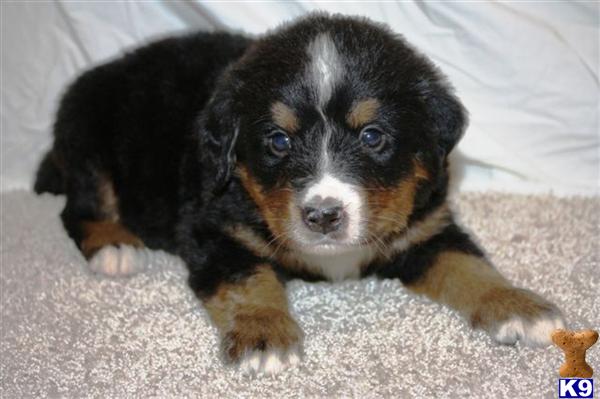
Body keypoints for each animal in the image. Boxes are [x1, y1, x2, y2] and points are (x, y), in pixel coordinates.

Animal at [36, 12, 564, 376]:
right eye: (278, 141)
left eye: (373, 136)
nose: (324, 215)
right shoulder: (213, 229)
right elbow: (249, 281)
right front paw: (263, 334)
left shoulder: (427, 227)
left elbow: (469, 265)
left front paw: (518, 306)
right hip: (87, 140)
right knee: (77, 209)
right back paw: (115, 246)